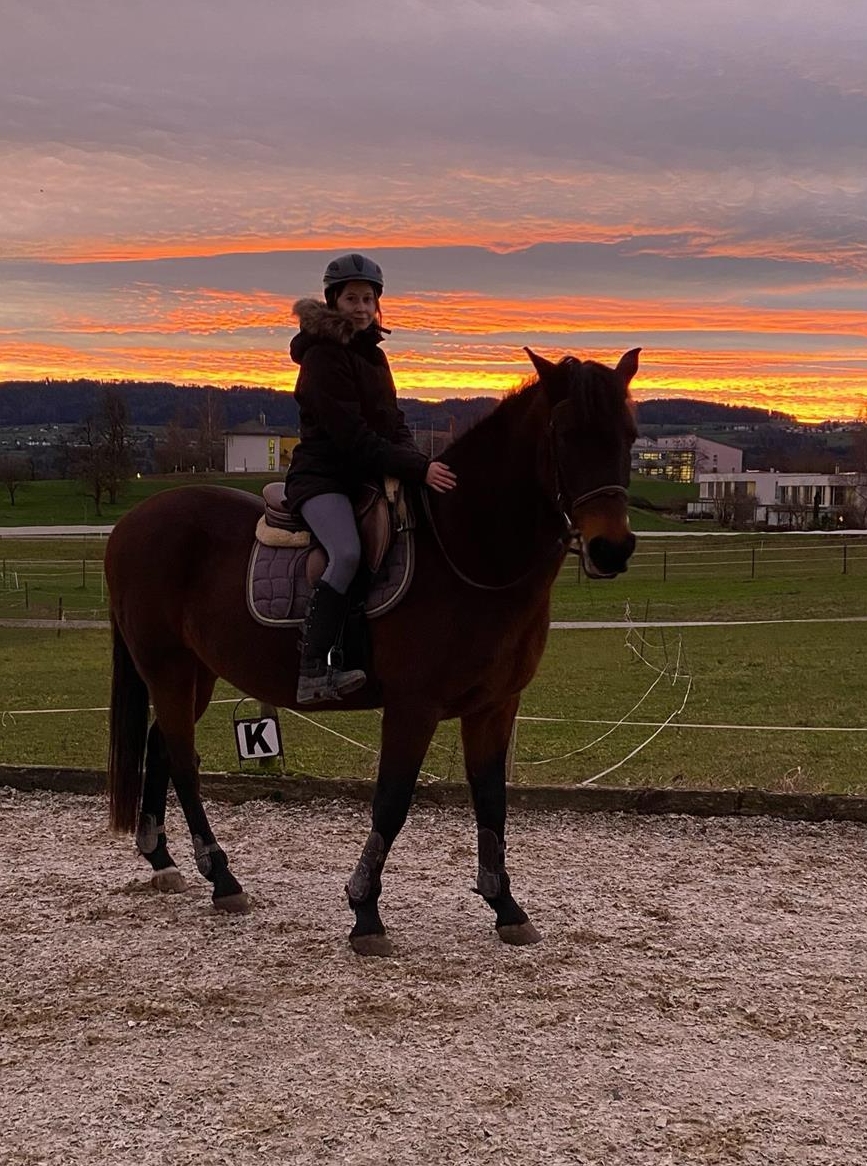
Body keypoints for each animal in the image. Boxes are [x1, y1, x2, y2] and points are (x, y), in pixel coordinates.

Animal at [105, 347, 640, 955]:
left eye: (629, 436)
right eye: (567, 435)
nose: (611, 548)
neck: (463, 549)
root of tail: (129, 524)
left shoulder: (493, 707)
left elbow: (491, 799)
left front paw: (505, 906)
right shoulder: (413, 707)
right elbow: (392, 799)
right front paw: (365, 912)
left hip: (196, 672)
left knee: (160, 746)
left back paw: (162, 859)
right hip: (167, 667)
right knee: (182, 760)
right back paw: (222, 877)